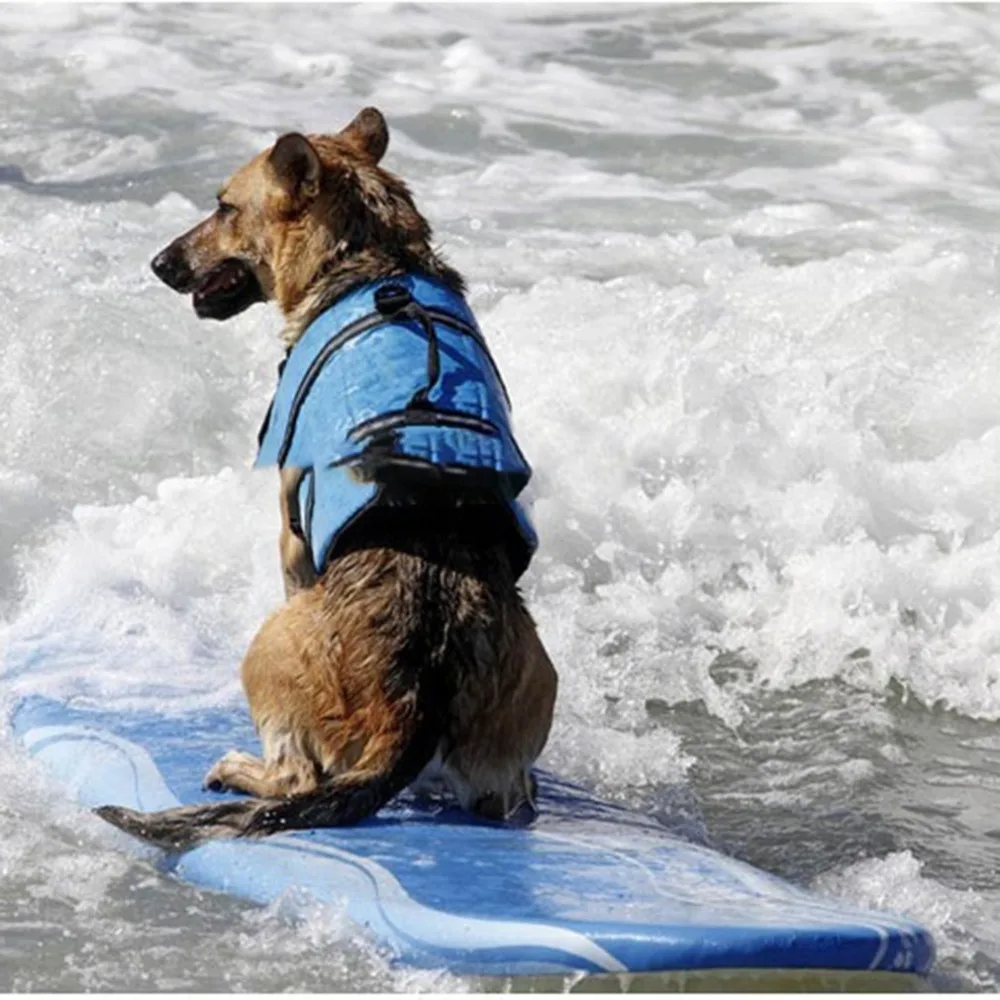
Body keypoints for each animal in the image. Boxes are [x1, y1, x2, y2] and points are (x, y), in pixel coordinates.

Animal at [95, 107, 556, 852]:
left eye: (225, 207)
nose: (159, 263)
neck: (376, 261)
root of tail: (419, 696)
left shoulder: (289, 526)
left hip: (268, 643)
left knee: (295, 779)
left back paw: (240, 767)